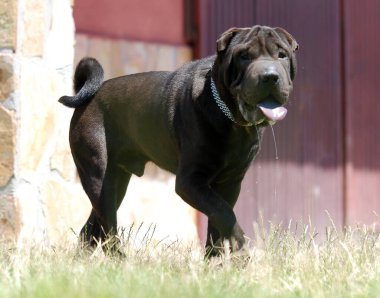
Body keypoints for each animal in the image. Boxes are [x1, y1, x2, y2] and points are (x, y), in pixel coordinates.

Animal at [59, 25, 298, 254]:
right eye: (244, 56)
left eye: (282, 55)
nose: (269, 76)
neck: (232, 121)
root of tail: (89, 97)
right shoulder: (190, 181)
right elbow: (225, 213)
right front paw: (241, 251)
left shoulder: (230, 182)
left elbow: (218, 223)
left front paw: (216, 261)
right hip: (100, 177)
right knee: (108, 228)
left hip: (116, 181)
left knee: (91, 229)